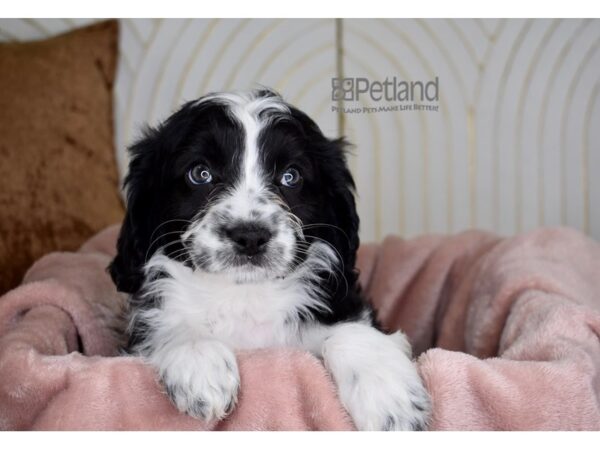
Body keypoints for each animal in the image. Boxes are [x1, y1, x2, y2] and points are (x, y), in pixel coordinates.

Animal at [109, 89, 432, 430]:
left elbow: (349, 330)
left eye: (290, 176)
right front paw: (200, 363)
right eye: (200, 174)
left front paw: (392, 402)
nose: (250, 235)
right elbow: (172, 325)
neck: (245, 296)